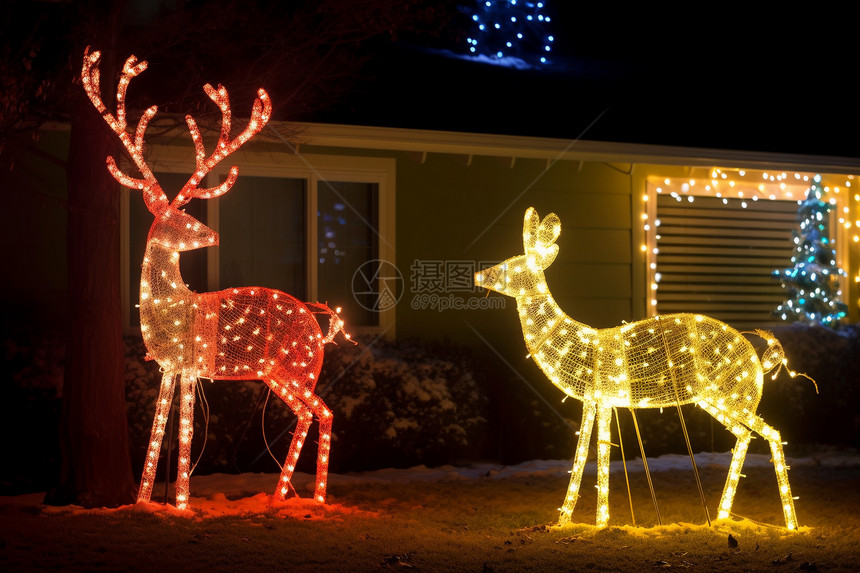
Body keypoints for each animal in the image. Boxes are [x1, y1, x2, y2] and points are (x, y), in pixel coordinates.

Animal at [81, 47, 350, 508]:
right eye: (179, 217)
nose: (214, 235)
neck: (172, 306)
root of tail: (320, 327)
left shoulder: (191, 365)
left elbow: (186, 432)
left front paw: (182, 504)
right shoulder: (170, 368)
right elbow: (158, 430)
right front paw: (145, 502)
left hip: (296, 369)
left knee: (322, 411)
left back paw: (304, 499)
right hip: (280, 375)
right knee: (310, 412)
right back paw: (289, 498)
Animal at [478, 208, 800, 528]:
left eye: (510, 266)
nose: (478, 275)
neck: (580, 342)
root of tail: (759, 361)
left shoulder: (604, 399)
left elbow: (602, 449)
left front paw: (600, 523)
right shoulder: (593, 401)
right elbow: (581, 453)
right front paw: (565, 520)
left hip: (734, 399)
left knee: (772, 434)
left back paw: (790, 524)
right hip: (715, 401)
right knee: (744, 436)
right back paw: (721, 517)